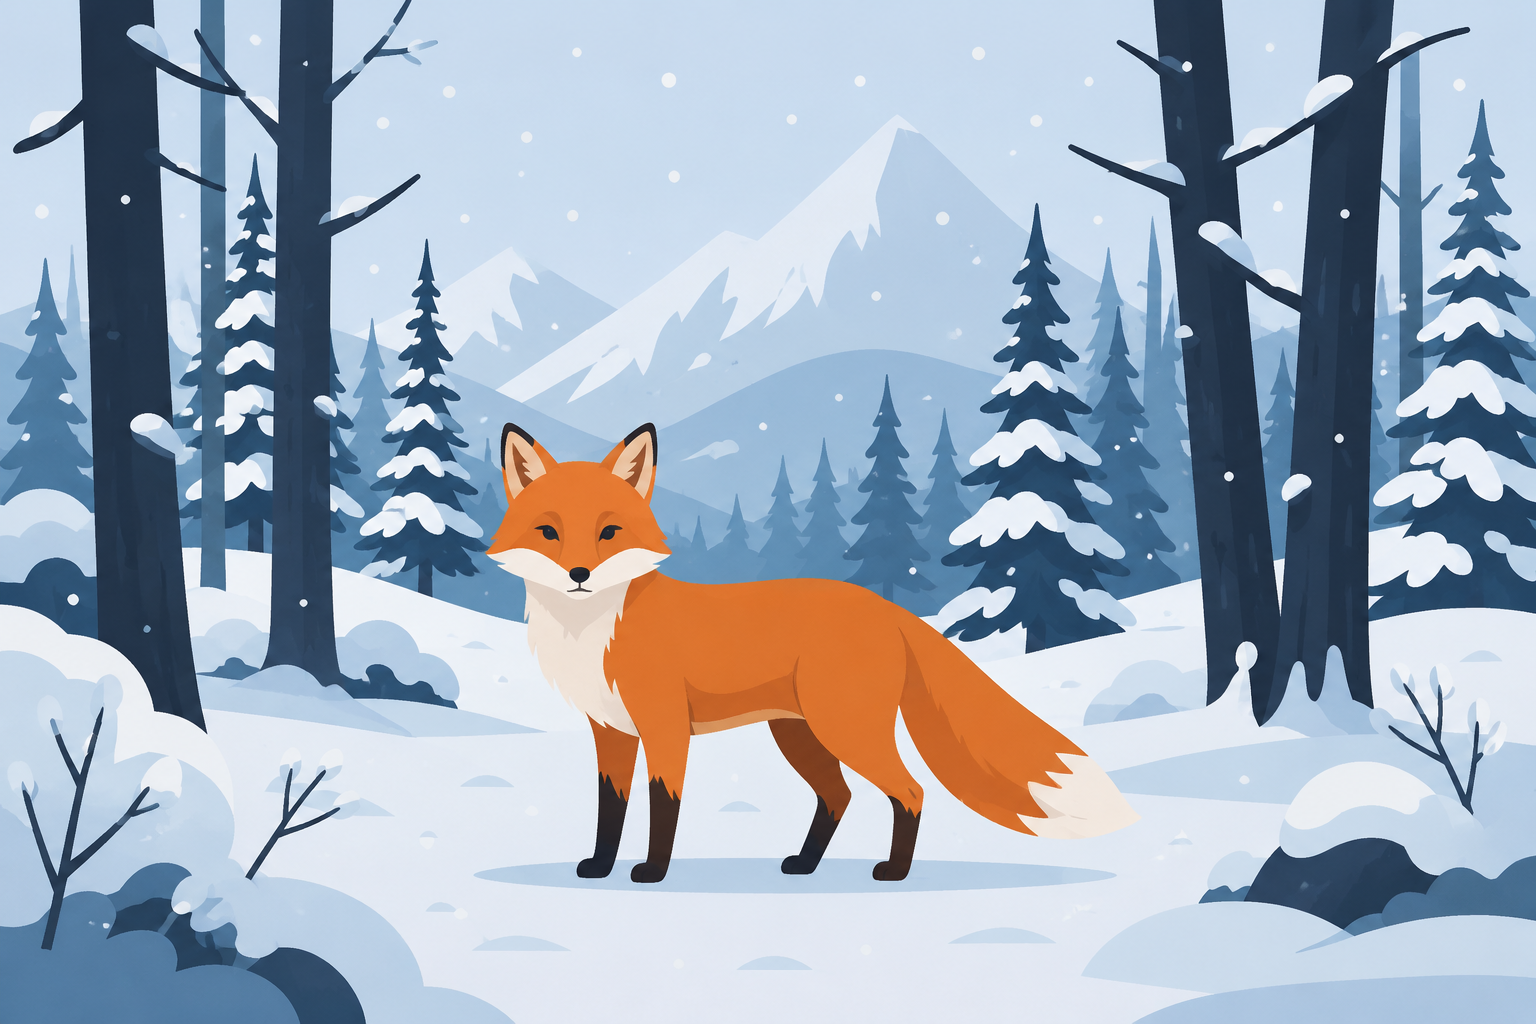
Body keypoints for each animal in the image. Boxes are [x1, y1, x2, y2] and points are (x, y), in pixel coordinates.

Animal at [486, 422, 1138, 883]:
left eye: (609, 532)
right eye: (548, 532)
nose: (578, 575)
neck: (594, 628)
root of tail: (883, 607)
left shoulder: (664, 727)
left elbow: (662, 807)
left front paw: (651, 872)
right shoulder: (612, 732)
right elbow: (609, 811)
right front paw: (600, 867)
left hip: (843, 727)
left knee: (909, 792)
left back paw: (894, 872)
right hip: (801, 734)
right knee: (839, 796)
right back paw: (805, 864)